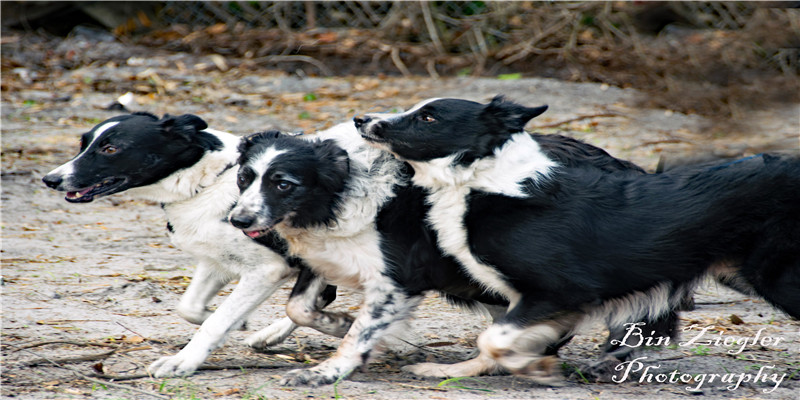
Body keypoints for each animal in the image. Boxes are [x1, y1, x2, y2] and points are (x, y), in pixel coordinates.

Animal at [39, 113, 346, 378]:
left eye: (111, 149)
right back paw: (274, 334)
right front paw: (237, 321)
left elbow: (216, 322)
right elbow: (189, 307)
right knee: (320, 298)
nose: (49, 179)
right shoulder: (217, 262)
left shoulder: (268, 270)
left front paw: (182, 361)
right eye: (83, 144)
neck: (208, 181)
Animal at [228, 111, 684, 384]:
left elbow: (359, 332)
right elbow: (300, 308)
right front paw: (341, 323)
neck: (348, 183)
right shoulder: (323, 256)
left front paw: (329, 369)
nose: (238, 221)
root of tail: (625, 165)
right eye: (244, 178)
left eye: (283, 184)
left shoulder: (398, 279)